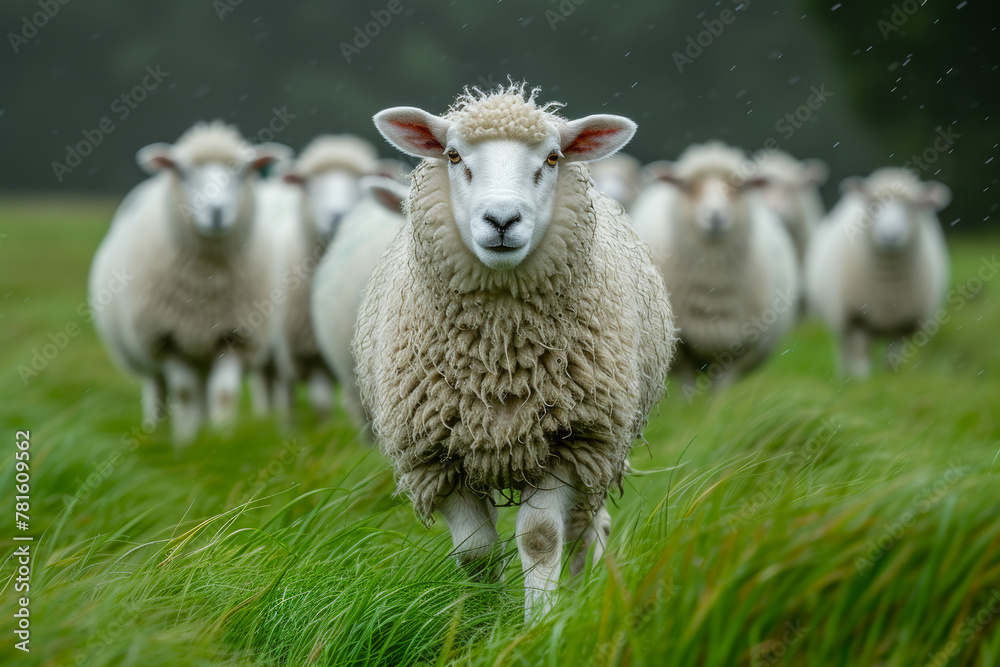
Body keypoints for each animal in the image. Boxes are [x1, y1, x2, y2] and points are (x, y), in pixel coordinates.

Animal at [88, 121, 287, 445]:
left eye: (243, 172)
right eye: (183, 172)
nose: (216, 211)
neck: (206, 280)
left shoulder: (235, 335)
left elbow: (224, 394)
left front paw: (221, 440)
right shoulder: (166, 338)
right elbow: (183, 394)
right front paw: (187, 442)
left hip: (204, 352)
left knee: (202, 392)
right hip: (149, 351)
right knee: (160, 392)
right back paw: (160, 436)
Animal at [265, 135, 382, 418]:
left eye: (361, 181)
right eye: (309, 183)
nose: (339, 214)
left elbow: (322, 407)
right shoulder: (287, 353)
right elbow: (290, 404)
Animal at [354, 83, 676, 621]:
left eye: (552, 158)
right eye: (453, 155)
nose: (502, 220)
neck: (500, 356)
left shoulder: (570, 441)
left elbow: (542, 538)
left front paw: (539, 623)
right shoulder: (437, 456)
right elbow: (476, 554)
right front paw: (480, 625)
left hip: (601, 447)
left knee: (586, 529)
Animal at [630, 141, 799, 396]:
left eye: (739, 187)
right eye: (689, 186)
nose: (716, 216)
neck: (712, 282)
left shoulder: (737, 347)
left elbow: (720, 394)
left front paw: (715, 407)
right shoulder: (682, 348)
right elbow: (688, 390)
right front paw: (690, 406)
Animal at [805, 168, 951, 378]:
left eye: (912, 207)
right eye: (873, 205)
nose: (890, 236)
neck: (888, 284)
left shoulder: (903, 322)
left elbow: (893, 358)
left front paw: (890, 379)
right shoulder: (858, 316)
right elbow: (860, 356)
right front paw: (862, 381)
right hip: (839, 316)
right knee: (844, 349)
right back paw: (843, 376)